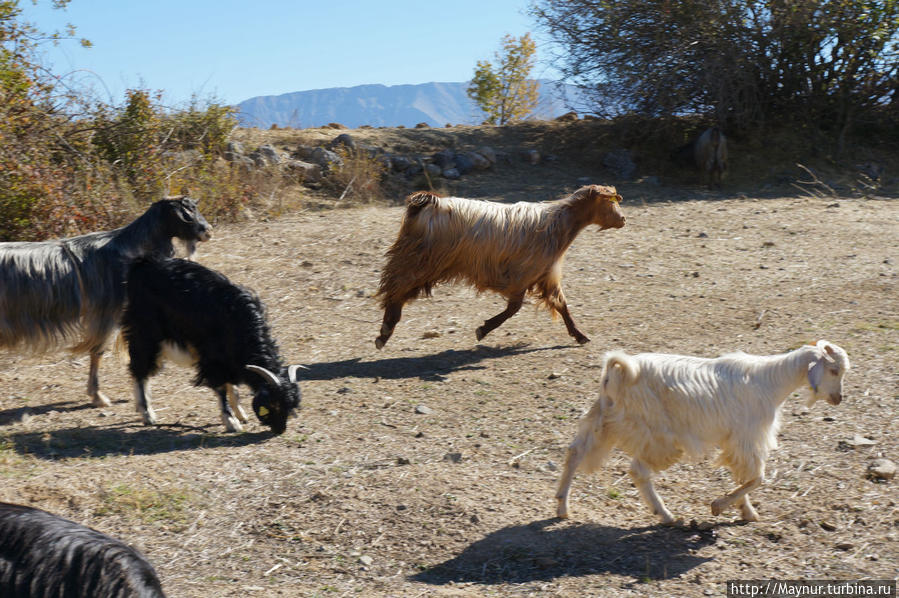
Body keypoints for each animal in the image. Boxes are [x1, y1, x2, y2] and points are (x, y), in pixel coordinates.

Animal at [0, 197, 211, 408]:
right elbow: (98, 351)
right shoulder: (107, 313)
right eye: (187, 213)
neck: (129, 251)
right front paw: (98, 395)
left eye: (195, 208)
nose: (207, 231)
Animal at [121, 258, 304, 436]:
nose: (279, 430)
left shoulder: (230, 360)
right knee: (139, 369)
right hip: (145, 333)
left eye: (291, 406)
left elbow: (232, 386)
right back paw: (147, 414)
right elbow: (222, 387)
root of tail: (140, 266)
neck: (240, 322)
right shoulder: (214, 359)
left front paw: (240, 413)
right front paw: (231, 422)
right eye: (274, 405)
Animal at [372, 185, 624, 350]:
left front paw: (579, 335)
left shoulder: (544, 274)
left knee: (398, 290)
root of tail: (430, 201)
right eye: (609, 203)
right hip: (419, 260)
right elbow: (513, 309)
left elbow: (561, 305)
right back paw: (384, 332)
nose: (623, 220)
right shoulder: (522, 275)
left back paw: (385, 331)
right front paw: (483, 330)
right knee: (396, 289)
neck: (559, 223)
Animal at [556, 342, 852, 524]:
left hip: (603, 420)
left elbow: (745, 478)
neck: (770, 381)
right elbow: (757, 478)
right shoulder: (747, 438)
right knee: (637, 471)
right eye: (833, 370)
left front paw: (746, 512)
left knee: (575, 452)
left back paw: (561, 507)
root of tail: (620, 370)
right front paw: (720, 505)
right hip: (657, 435)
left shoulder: (736, 442)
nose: (838, 398)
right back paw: (665, 515)